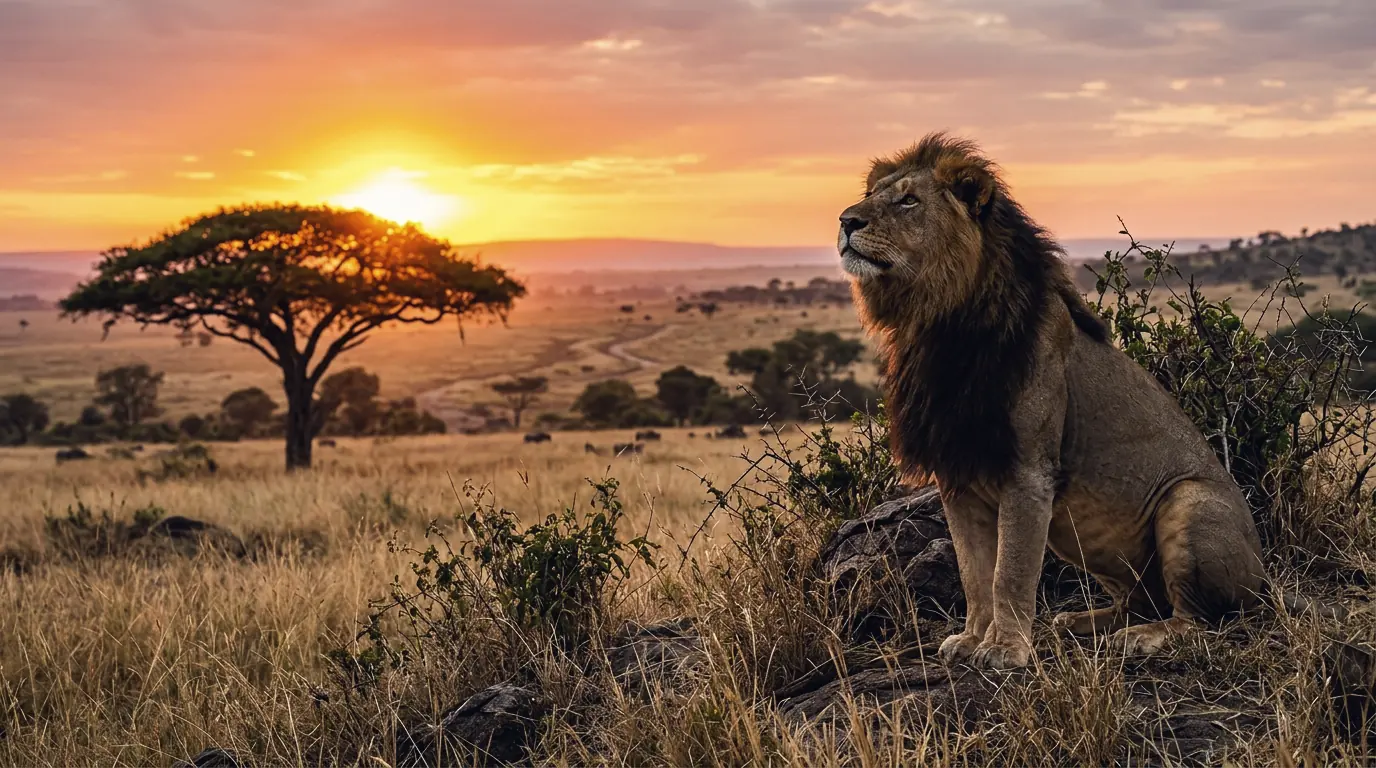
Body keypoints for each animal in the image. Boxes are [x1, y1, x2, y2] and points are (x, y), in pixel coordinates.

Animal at [837, 132, 1271, 670]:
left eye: (908, 201)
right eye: (872, 194)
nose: (846, 221)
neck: (937, 323)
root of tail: (1264, 575)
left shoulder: (1028, 472)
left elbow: (1009, 572)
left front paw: (1005, 648)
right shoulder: (956, 476)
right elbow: (973, 573)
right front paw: (972, 638)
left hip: (1188, 501)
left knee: (1199, 620)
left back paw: (1144, 637)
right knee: (1137, 600)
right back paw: (1080, 622)